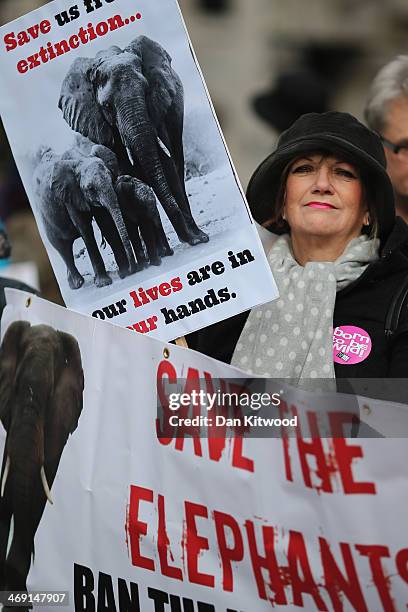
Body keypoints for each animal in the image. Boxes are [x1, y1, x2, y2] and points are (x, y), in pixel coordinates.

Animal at [33, 146, 135, 290]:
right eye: (90, 188)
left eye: (111, 178)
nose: (131, 270)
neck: (81, 159)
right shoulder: (69, 196)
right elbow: (85, 228)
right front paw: (103, 283)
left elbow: (105, 223)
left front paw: (124, 272)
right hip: (45, 218)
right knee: (61, 247)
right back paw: (77, 284)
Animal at [59, 33, 209, 247]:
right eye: (107, 106)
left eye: (146, 92)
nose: (192, 239)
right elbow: (125, 165)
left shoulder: (157, 106)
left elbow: (163, 161)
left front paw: (196, 239)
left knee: (177, 161)